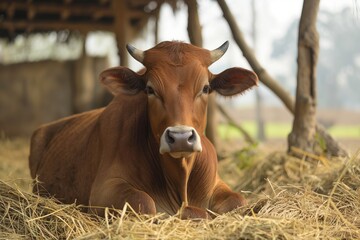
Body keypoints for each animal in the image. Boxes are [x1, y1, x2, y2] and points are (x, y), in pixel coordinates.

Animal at [29, 41, 258, 219]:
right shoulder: (103, 190)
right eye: (150, 89)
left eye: (205, 88)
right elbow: (145, 202)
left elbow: (238, 201)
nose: (181, 137)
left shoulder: (217, 183)